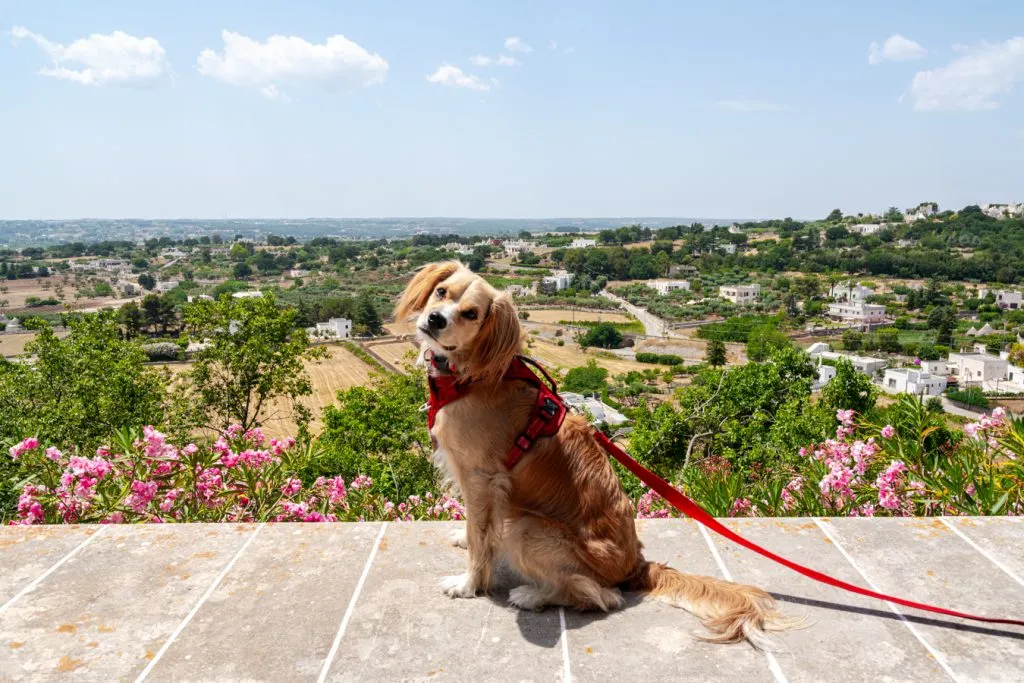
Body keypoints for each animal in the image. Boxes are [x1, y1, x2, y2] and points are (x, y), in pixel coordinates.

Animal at [395, 260, 786, 647]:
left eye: (472, 314)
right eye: (441, 292)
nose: (435, 319)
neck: (470, 373)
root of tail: (635, 565)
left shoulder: (481, 476)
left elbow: (481, 537)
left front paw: (469, 584)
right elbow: (477, 526)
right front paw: (464, 539)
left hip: (525, 526)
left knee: (597, 595)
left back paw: (532, 595)